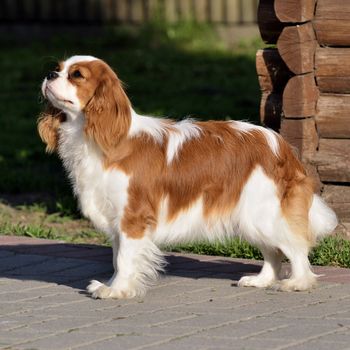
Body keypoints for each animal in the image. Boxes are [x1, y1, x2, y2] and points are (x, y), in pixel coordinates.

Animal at [37, 56, 338, 300]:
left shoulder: (133, 216)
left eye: (76, 75)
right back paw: (262, 280)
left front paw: (117, 290)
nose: (49, 74)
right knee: (273, 251)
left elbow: (123, 258)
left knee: (296, 247)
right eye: (58, 68)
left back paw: (297, 282)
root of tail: (280, 144)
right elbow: (117, 256)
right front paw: (114, 284)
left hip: (264, 212)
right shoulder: (117, 217)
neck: (100, 136)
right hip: (251, 216)